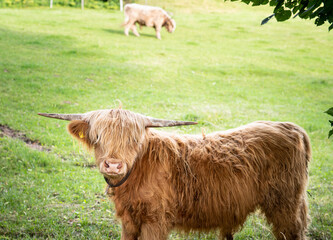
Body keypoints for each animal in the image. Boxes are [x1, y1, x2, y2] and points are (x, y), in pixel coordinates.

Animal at [39, 109, 312, 240]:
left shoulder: (155, 221)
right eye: (97, 136)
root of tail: (290, 127)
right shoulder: (129, 221)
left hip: (284, 205)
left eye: (133, 139)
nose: (113, 165)